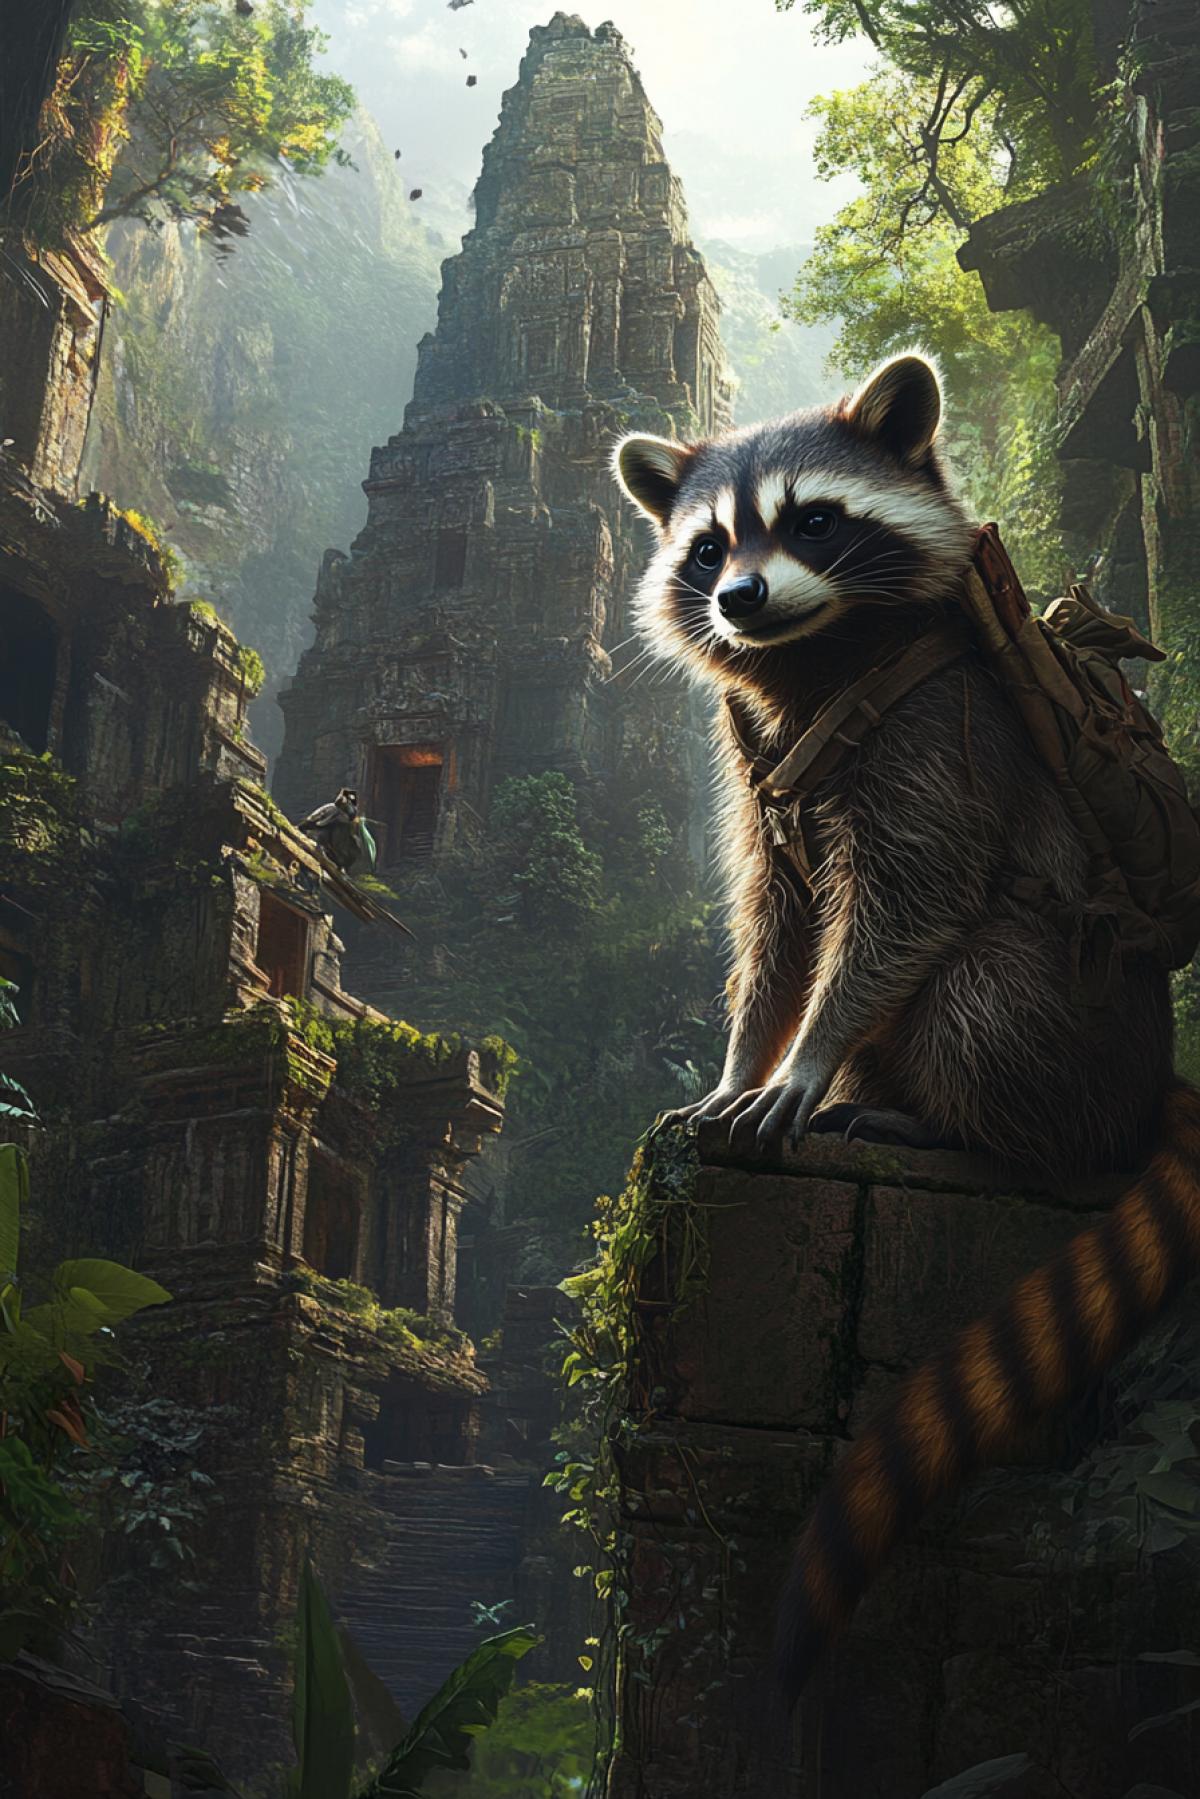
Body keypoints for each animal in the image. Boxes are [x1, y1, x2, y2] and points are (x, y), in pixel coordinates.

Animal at [613, 353, 1200, 1702]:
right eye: (709, 545)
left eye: (815, 521)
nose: (740, 596)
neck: (817, 658)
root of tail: (1150, 1082)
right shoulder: (753, 770)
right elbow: (774, 923)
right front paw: (747, 1054)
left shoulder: (944, 733)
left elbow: (907, 902)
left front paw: (809, 1057)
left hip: (1069, 1003)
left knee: (982, 986)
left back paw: (955, 1128)